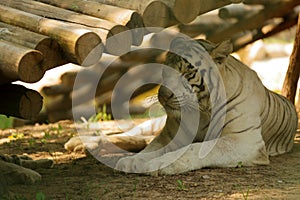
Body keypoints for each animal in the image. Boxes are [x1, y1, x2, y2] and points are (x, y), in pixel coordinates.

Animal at [115, 37, 298, 175]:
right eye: (165, 71)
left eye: (187, 73)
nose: (164, 96)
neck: (201, 111)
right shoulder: (170, 136)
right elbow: (152, 149)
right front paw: (130, 161)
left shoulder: (244, 140)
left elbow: (193, 149)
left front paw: (159, 164)